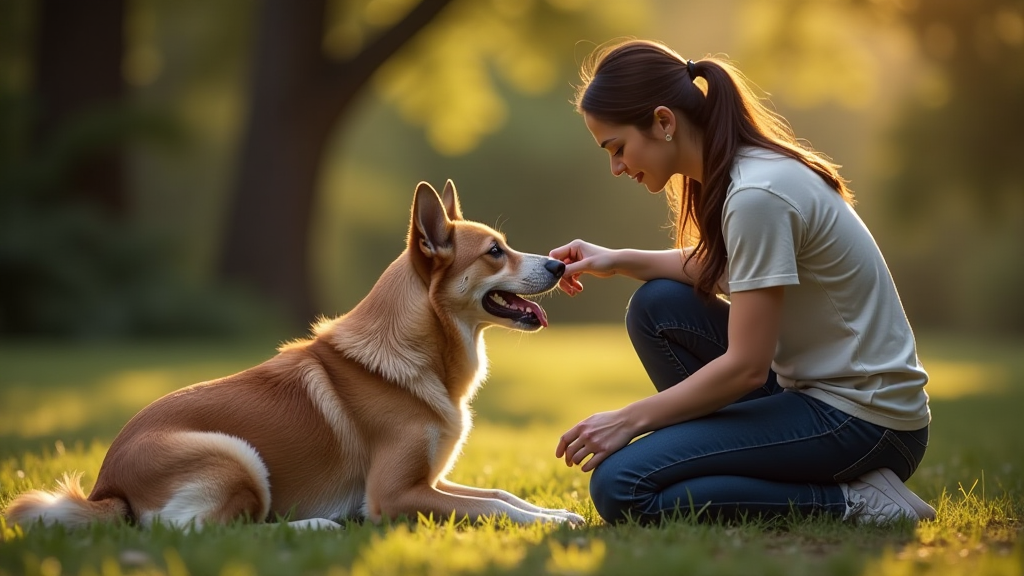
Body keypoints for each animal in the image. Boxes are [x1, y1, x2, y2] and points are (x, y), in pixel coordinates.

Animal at [6, 179, 585, 528]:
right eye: (495, 253)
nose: (559, 265)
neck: (418, 356)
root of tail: (105, 487)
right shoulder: (395, 496)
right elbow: (489, 506)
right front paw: (551, 521)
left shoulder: (433, 480)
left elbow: (503, 497)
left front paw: (555, 512)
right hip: (236, 456)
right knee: (205, 532)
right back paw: (316, 524)